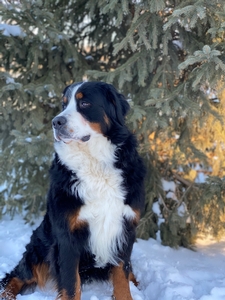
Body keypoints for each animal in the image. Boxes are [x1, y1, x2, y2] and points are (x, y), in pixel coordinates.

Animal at [0, 81, 146, 298]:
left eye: (84, 103)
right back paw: (7, 295)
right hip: (39, 248)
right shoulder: (67, 236)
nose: (56, 122)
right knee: (17, 275)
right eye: (64, 104)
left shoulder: (125, 228)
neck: (95, 165)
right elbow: (70, 284)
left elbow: (122, 274)